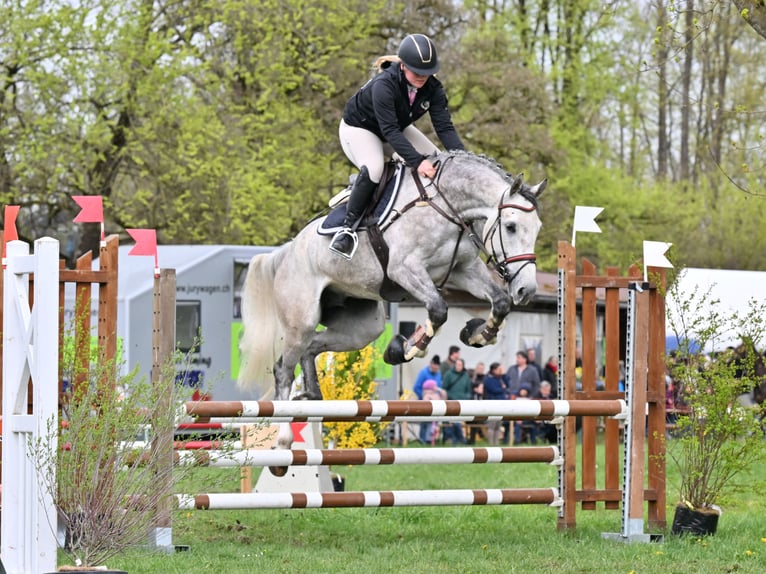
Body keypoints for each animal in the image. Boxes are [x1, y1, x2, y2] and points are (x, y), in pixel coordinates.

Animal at [240, 152, 544, 468]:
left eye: (537, 228)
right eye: (511, 227)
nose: (526, 290)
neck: (448, 205)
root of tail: (287, 251)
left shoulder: (464, 269)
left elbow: (500, 302)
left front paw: (478, 334)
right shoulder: (405, 269)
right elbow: (438, 309)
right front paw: (406, 349)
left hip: (362, 329)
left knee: (311, 347)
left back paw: (312, 394)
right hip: (302, 319)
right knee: (283, 370)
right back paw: (282, 444)